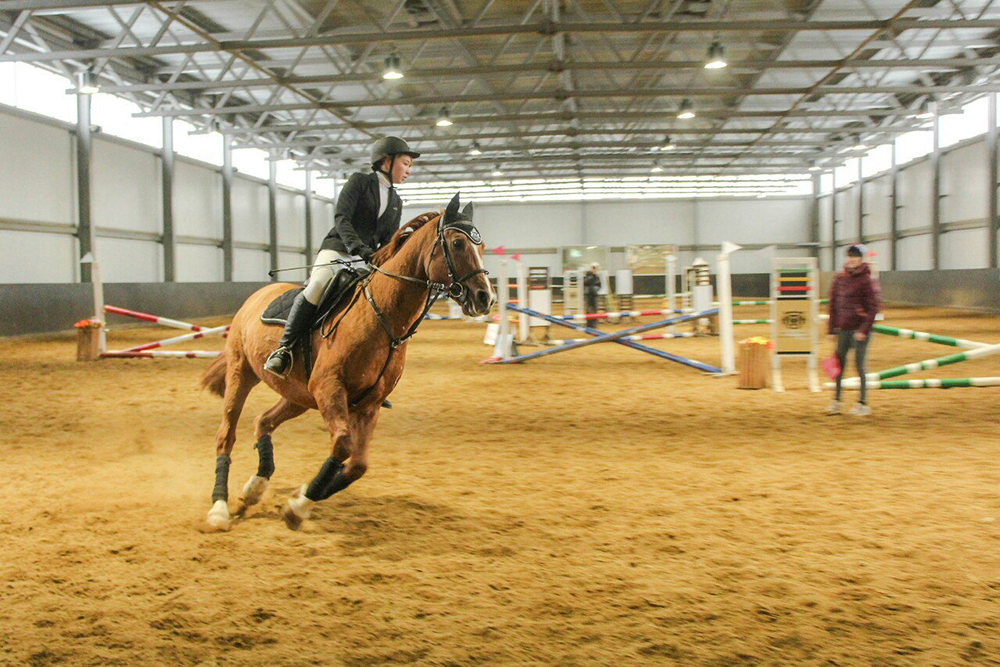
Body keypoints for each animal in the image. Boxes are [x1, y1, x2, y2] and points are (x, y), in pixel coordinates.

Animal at [197, 194, 494, 532]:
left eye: (482, 247)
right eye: (457, 243)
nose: (485, 298)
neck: (383, 317)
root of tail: (256, 295)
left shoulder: (368, 404)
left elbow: (357, 466)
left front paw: (301, 499)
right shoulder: (330, 389)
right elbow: (342, 447)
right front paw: (298, 506)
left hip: (299, 395)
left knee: (264, 420)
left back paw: (254, 488)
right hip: (242, 374)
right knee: (226, 435)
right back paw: (219, 508)